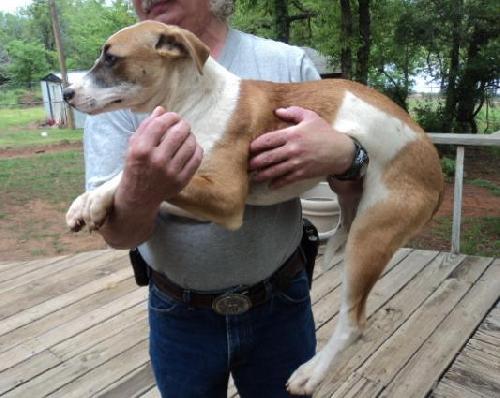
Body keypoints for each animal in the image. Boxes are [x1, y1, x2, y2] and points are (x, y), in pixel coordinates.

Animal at [64, 21, 444, 394]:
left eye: (111, 58)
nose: (66, 93)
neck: (197, 103)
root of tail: (432, 159)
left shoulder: (228, 197)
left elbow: (154, 179)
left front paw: (98, 198)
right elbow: (127, 173)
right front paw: (90, 200)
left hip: (371, 236)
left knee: (352, 324)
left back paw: (310, 373)